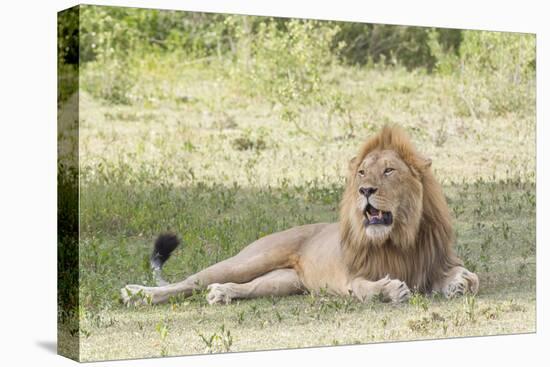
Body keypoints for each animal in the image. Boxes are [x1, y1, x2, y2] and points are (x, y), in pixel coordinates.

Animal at [123, 125, 480, 306]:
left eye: (389, 171)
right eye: (362, 172)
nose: (365, 189)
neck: (398, 238)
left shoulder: (435, 261)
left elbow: (467, 277)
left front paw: (458, 283)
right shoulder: (352, 277)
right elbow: (366, 287)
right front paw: (391, 290)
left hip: (283, 281)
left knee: (241, 287)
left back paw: (222, 293)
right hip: (249, 259)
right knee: (188, 282)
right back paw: (137, 294)